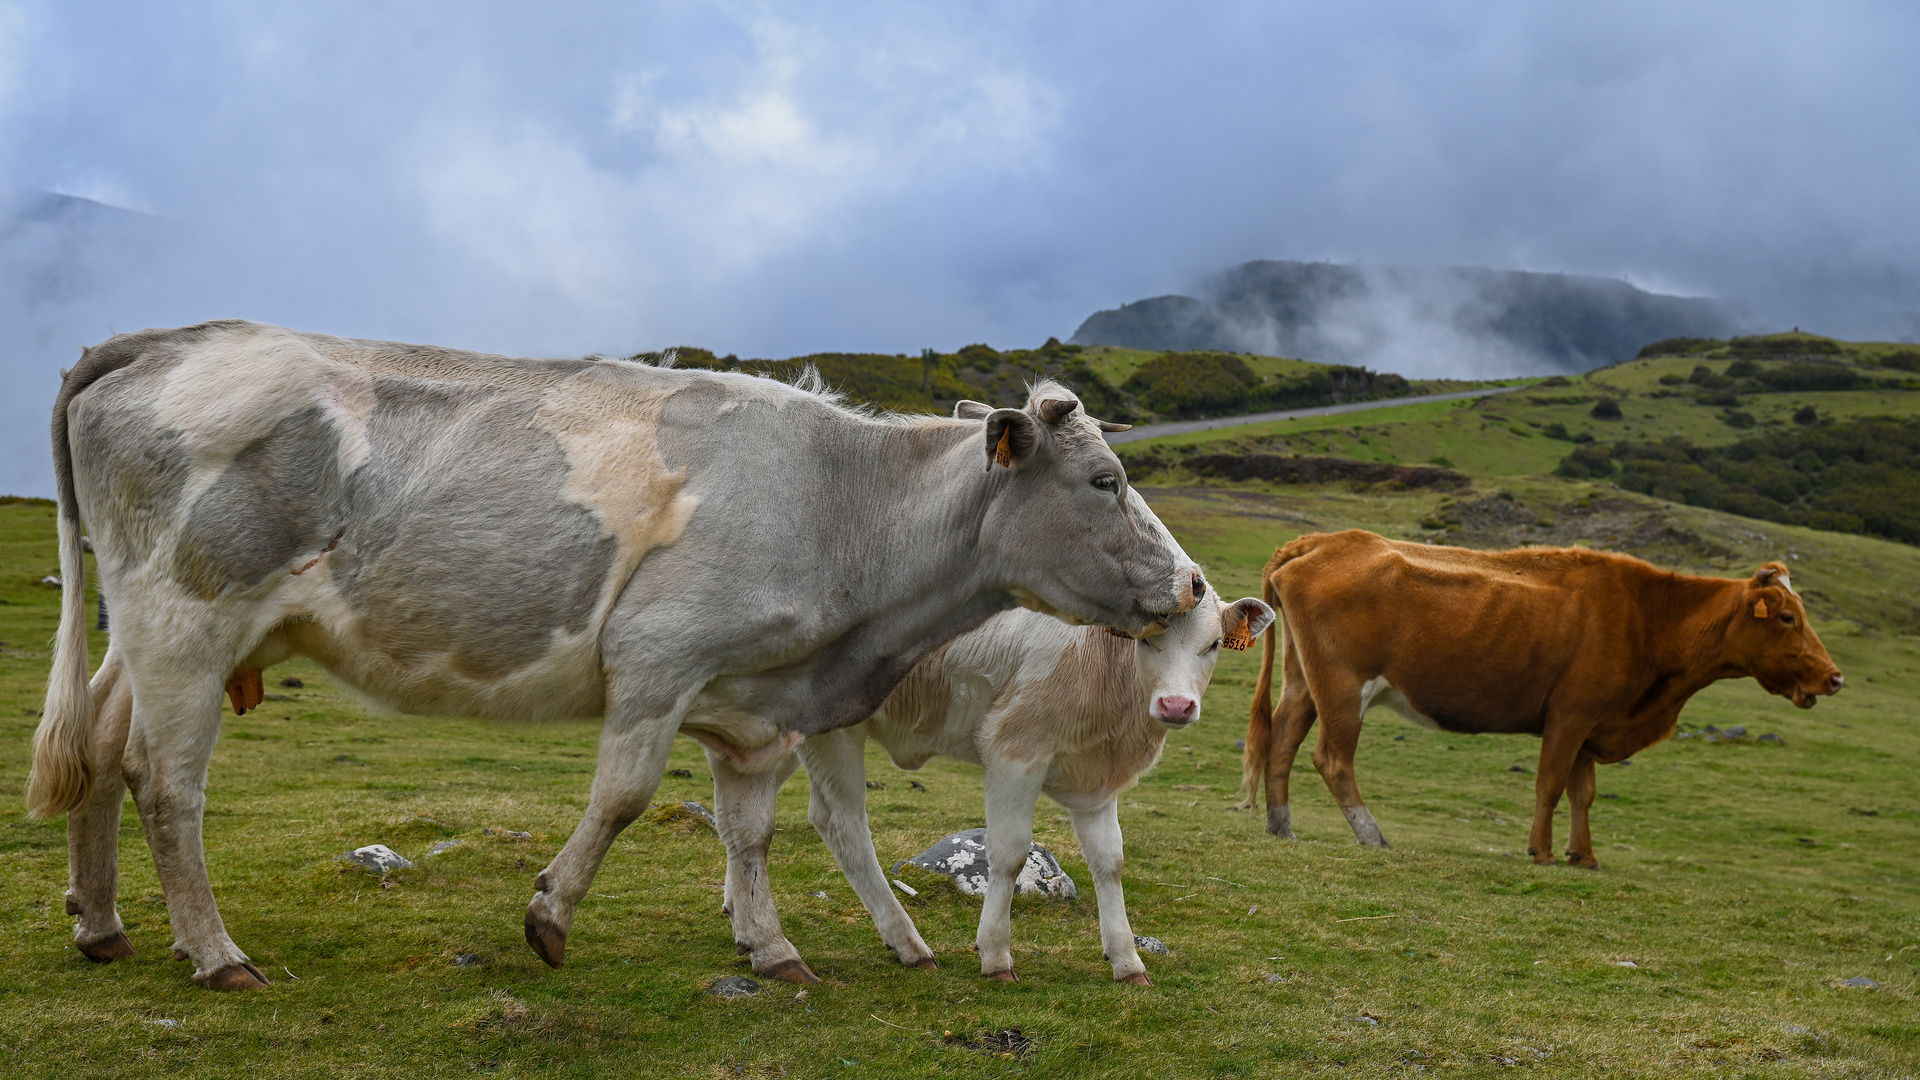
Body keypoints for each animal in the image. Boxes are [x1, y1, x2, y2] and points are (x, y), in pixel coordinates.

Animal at [748, 584, 1274, 980]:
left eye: (1212, 645)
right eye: (1146, 640)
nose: (1176, 706)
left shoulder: (1095, 781)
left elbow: (1110, 862)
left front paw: (1126, 960)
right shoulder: (1014, 749)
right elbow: (1009, 853)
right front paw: (996, 955)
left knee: (748, 817)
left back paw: (753, 934)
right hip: (831, 728)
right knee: (840, 823)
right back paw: (901, 944)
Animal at [1236, 530, 1835, 864]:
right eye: (1787, 617)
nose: (1834, 679)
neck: (1646, 617)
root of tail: (1319, 541)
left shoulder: (1592, 726)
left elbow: (1582, 793)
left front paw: (1584, 855)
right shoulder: (1571, 715)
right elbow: (1549, 784)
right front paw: (1542, 852)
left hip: (1304, 680)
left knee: (1282, 740)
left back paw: (1281, 827)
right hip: (1343, 686)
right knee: (1331, 758)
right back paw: (1373, 836)